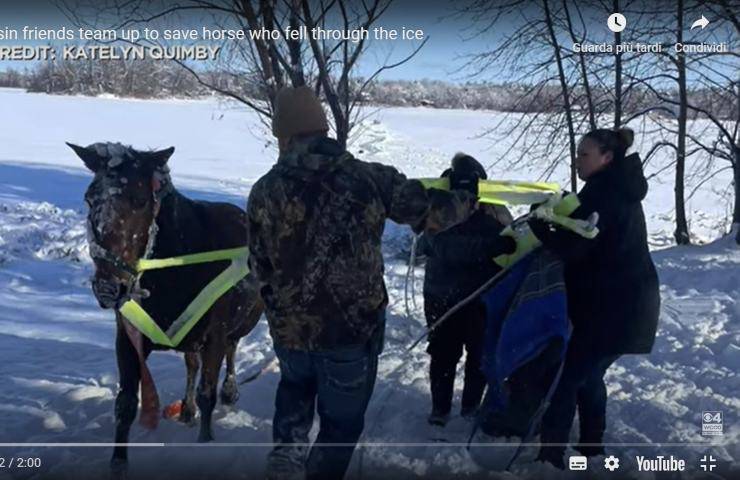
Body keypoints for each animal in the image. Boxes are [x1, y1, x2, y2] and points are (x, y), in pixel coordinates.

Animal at [66, 142, 264, 472]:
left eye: (140, 200)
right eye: (89, 198)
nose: (108, 288)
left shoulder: (214, 336)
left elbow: (208, 392)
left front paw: (206, 443)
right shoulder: (128, 338)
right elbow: (126, 403)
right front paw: (118, 463)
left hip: (237, 326)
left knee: (232, 350)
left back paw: (229, 390)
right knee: (191, 364)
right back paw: (186, 408)